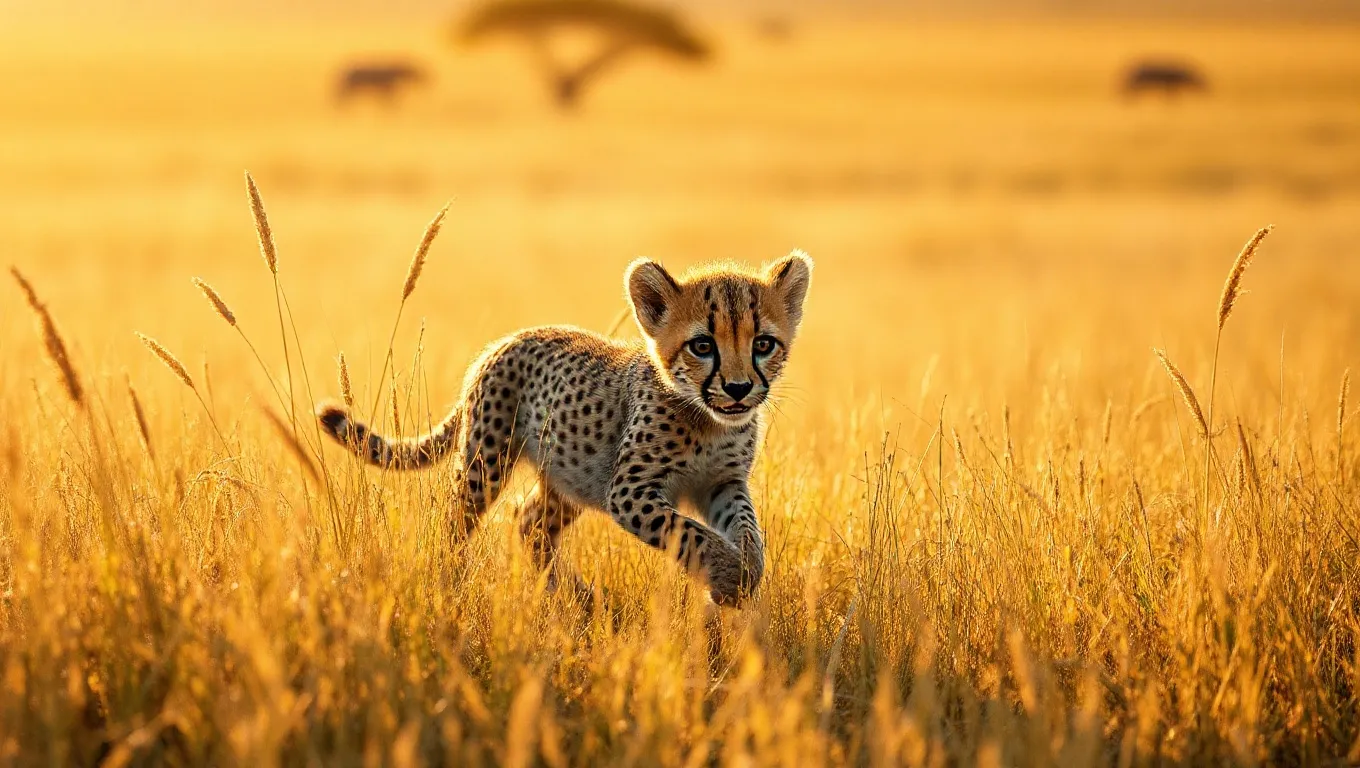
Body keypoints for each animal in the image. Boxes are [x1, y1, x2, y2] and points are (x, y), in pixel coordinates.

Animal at [315, 251, 812, 606]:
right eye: (703, 346)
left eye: (763, 344)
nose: (738, 388)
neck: (708, 419)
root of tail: (504, 341)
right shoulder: (629, 491)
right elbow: (690, 532)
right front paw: (728, 577)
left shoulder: (722, 483)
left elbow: (746, 528)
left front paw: (746, 572)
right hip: (486, 461)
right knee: (456, 520)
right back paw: (448, 580)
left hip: (571, 476)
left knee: (528, 521)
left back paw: (576, 596)